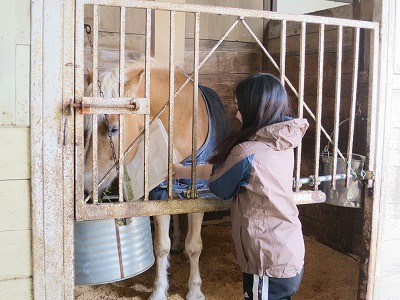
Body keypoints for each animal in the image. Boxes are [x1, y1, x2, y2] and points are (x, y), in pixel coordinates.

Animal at [83, 57, 230, 298]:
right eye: (85, 129)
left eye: (113, 129)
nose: (87, 184)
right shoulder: (160, 192)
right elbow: (161, 246)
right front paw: (159, 290)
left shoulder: (199, 192)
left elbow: (195, 245)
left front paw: (195, 290)